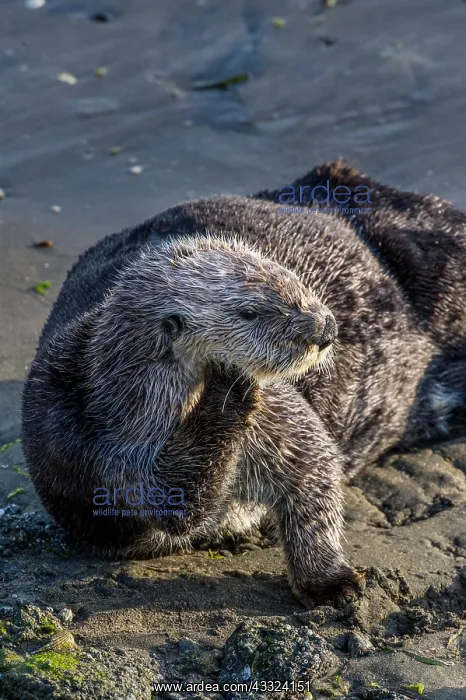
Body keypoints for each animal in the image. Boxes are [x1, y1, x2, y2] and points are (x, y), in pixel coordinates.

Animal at [22, 162, 466, 608]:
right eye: (248, 312)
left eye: (290, 276)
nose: (326, 327)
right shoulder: (95, 457)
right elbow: (178, 503)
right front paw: (227, 390)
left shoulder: (275, 410)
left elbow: (311, 464)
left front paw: (331, 581)